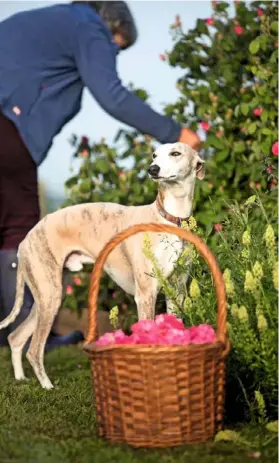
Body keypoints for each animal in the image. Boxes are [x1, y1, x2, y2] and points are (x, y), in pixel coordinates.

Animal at [0, 143, 206, 390]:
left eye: (175, 153)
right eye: (154, 155)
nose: (152, 169)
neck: (168, 219)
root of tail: (25, 240)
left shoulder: (177, 291)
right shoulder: (146, 293)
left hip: (48, 297)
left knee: (16, 337)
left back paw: (21, 378)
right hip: (50, 296)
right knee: (34, 349)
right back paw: (47, 386)